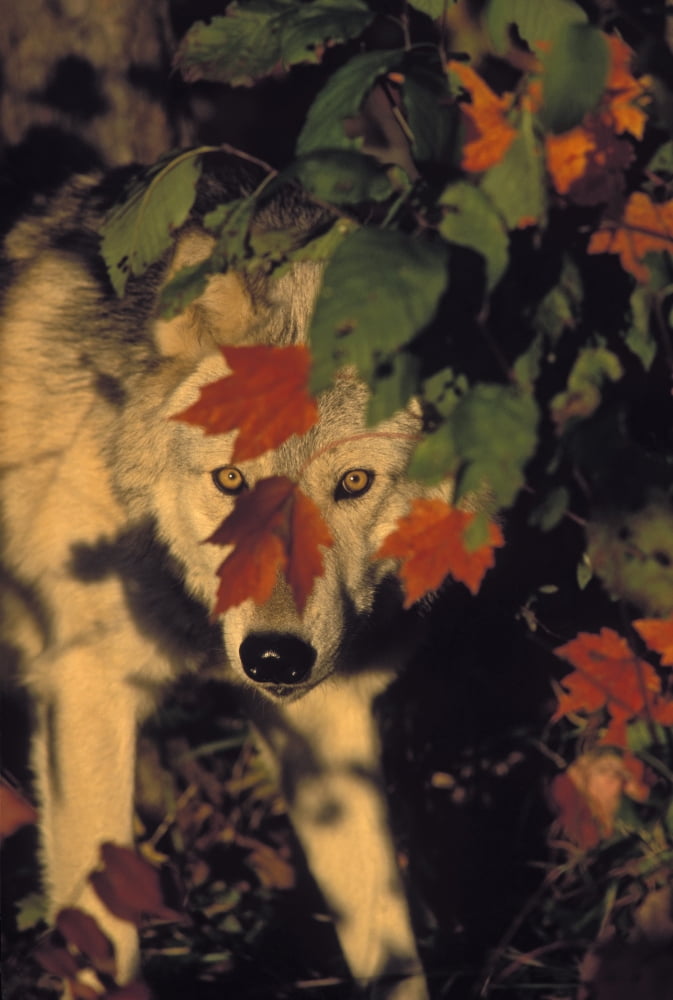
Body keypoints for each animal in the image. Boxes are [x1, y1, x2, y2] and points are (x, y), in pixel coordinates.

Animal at [0, 159, 442, 999]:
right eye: (231, 480)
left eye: (354, 483)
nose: (273, 657)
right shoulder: (86, 692)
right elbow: (104, 952)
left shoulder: (326, 712)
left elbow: (393, 954)